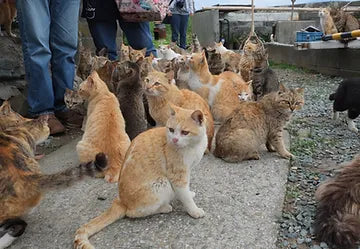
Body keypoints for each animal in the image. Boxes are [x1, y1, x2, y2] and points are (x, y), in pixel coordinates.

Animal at [74, 105, 207, 249]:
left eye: (185, 132)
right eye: (171, 130)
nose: (174, 140)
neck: (193, 146)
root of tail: (120, 201)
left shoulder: (187, 172)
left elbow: (185, 191)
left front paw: (189, 194)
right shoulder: (177, 176)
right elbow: (185, 196)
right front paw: (194, 210)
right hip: (162, 184)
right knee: (132, 213)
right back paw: (164, 208)